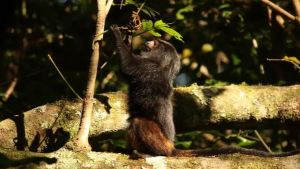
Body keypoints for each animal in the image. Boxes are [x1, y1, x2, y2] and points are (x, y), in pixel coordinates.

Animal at [110, 24, 300, 157]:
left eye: (155, 43)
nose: (148, 40)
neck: (162, 66)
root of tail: (171, 146)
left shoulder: (148, 68)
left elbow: (127, 66)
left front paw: (117, 35)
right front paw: (128, 36)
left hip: (160, 141)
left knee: (139, 122)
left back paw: (151, 153)